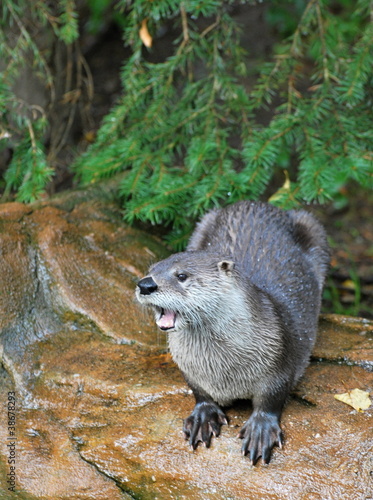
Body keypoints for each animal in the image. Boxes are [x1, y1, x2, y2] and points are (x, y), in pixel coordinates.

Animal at [135, 200, 326, 464]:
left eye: (181, 275)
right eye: (150, 270)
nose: (145, 284)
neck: (224, 369)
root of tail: (257, 203)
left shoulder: (279, 360)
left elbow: (273, 397)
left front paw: (261, 429)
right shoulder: (190, 368)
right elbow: (199, 392)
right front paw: (203, 415)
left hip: (313, 228)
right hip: (204, 221)